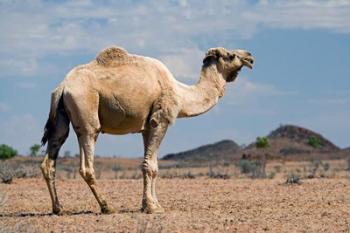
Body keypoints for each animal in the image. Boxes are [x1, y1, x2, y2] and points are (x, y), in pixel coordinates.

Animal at [40, 44, 254, 214]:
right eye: (231, 55)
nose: (250, 57)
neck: (182, 93)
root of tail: (62, 87)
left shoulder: (146, 127)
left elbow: (152, 166)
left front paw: (152, 204)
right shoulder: (161, 120)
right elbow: (150, 166)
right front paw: (152, 207)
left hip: (63, 117)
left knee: (51, 157)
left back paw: (58, 208)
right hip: (87, 111)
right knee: (87, 161)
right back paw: (107, 207)